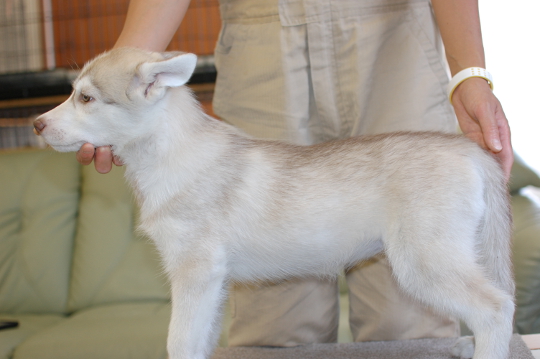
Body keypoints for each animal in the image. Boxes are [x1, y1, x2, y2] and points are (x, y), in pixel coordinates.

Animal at [33, 47, 516, 359]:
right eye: (72, 92)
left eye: (86, 98)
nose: (37, 124)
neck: (170, 156)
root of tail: (471, 149)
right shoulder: (213, 282)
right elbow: (200, 341)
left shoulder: (194, 270)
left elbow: (178, 341)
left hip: (423, 262)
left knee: (496, 309)